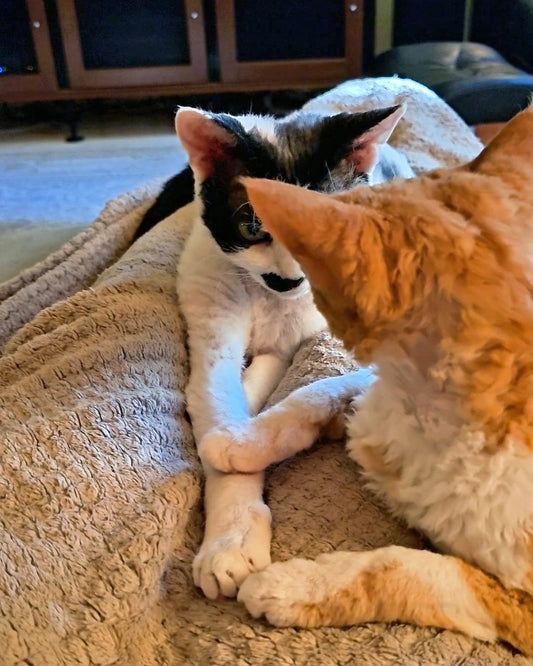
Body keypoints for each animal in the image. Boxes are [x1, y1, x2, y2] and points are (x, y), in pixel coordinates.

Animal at [137, 104, 412, 596]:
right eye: (251, 227)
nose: (289, 281)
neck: (266, 300)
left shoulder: (292, 340)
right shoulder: (211, 320)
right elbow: (216, 398)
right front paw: (229, 539)